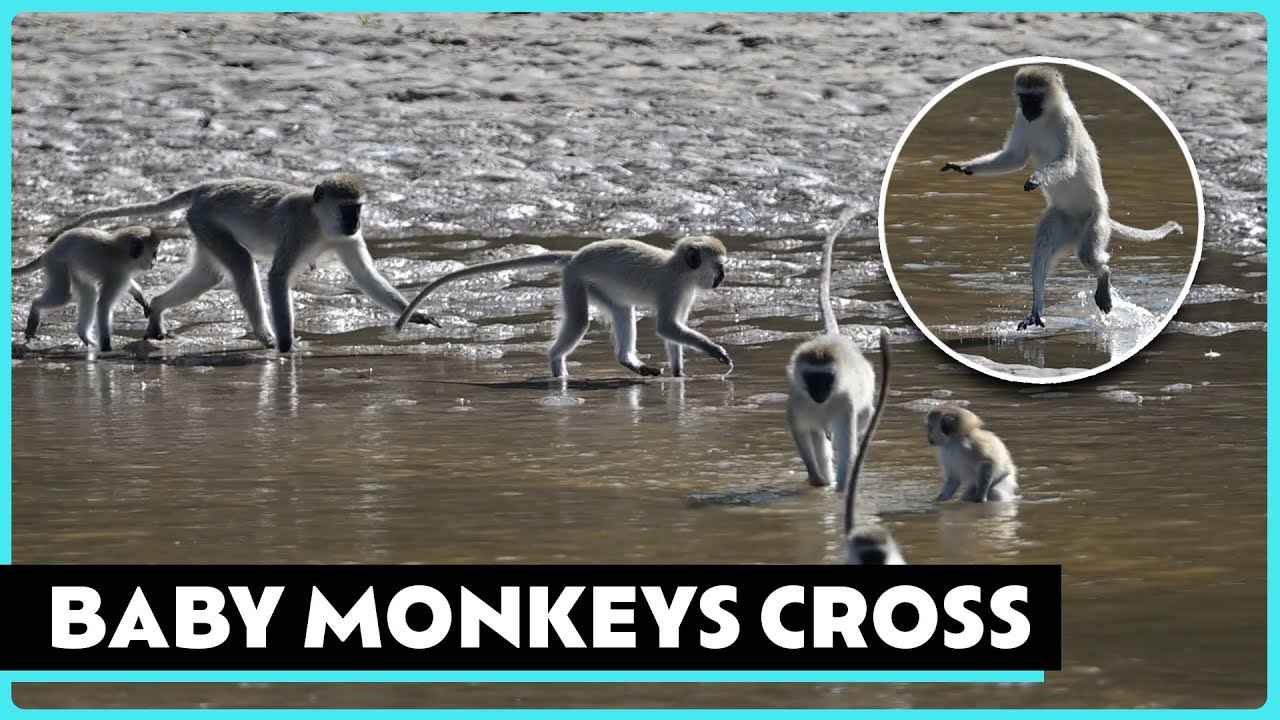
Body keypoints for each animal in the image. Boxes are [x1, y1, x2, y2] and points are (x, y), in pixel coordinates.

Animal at [13, 226, 160, 351]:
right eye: (154, 254)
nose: (154, 263)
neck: (121, 253)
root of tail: (49, 250)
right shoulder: (117, 276)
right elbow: (103, 305)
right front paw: (106, 346)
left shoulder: (123, 275)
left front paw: (140, 297)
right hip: (57, 264)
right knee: (64, 295)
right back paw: (35, 307)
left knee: (89, 293)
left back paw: (83, 335)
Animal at [50, 173, 439, 353]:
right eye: (346, 208)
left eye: (356, 209)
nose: (355, 222)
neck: (321, 224)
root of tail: (205, 188)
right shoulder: (298, 230)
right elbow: (278, 278)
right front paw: (286, 348)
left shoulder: (348, 240)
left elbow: (365, 277)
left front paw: (417, 314)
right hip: (206, 221)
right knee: (241, 265)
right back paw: (264, 336)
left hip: (202, 227)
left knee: (208, 275)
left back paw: (158, 307)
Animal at [393, 236, 732, 378]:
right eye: (718, 267)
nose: (721, 278)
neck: (680, 268)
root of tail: (575, 256)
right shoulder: (672, 288)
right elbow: (667, 327)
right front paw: (716, 352)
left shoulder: (685, 292)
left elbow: (671, 333)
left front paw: (679, 374)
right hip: (575, 281)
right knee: (580, 321)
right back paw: (557, 368)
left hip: (593, 286)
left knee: (622, 311)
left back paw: (629, 362)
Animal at [785, 209, 883, 492]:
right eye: (812, 378)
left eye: (826, 378)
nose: (819, 392)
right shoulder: (797, 400)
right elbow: (801, 434)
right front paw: (817, 480)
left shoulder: (845, 403)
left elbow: (848, 447)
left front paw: (841, 492)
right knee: (818, 436)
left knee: (861, 420)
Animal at [941, 64, 1184, 331]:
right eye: (1024, 98)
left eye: (1035, 98)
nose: (1028, 110)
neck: (1045, 117)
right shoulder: (1020, 120)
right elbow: (1014, 158)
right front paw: (964, 167)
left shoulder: (1066, 122)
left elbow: (1067, 163)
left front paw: (1037, 178)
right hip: (1060, 219)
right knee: (1041, 252)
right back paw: (1036, 310)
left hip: (1095, 223)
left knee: (1089, 255)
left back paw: (1104, 277)